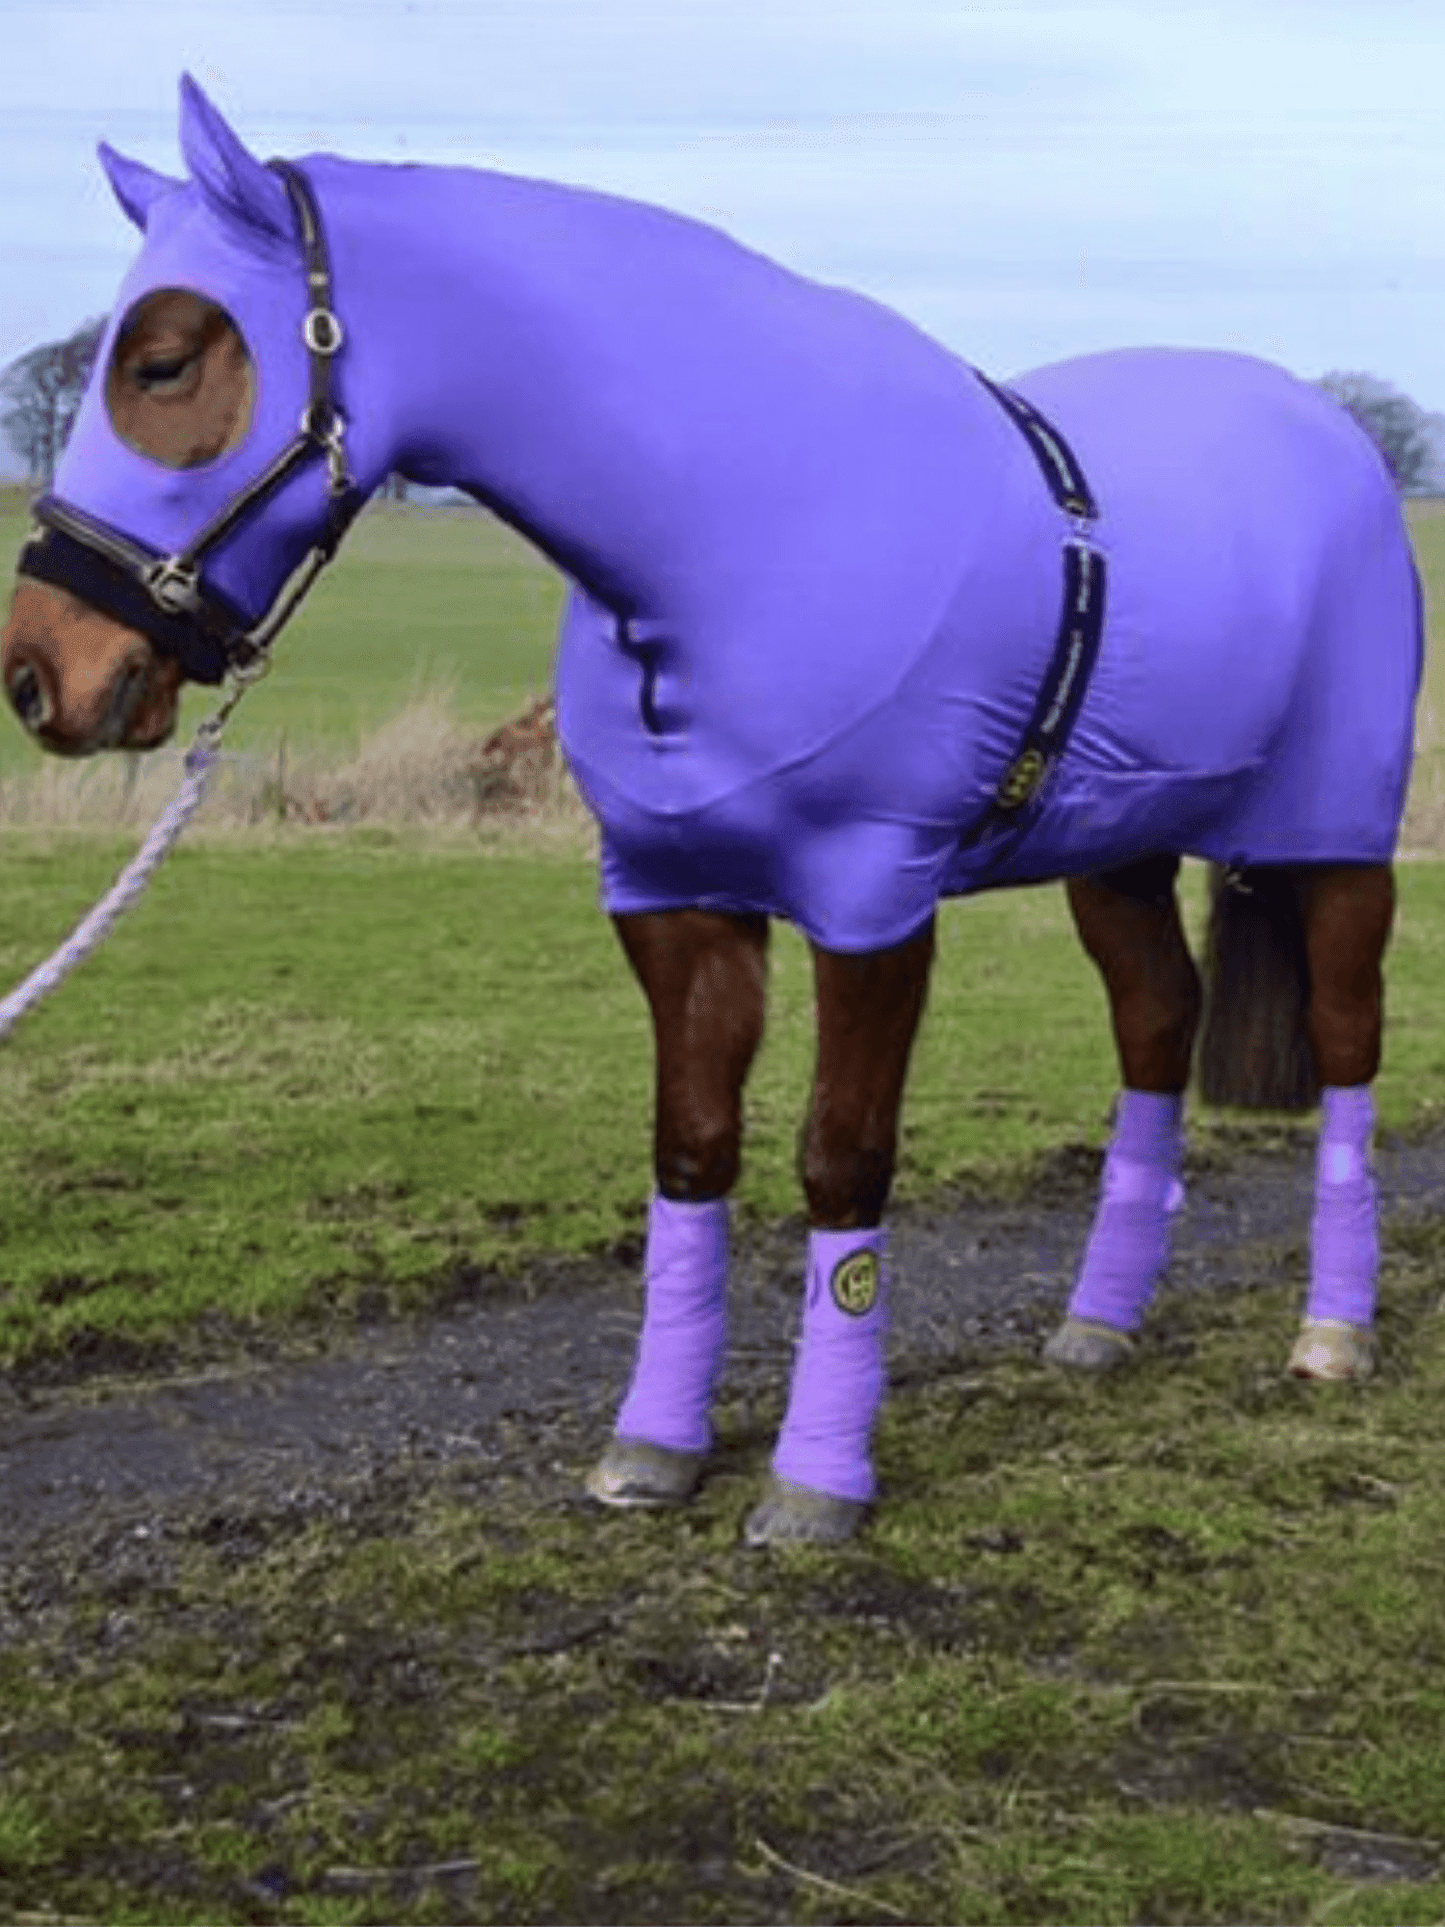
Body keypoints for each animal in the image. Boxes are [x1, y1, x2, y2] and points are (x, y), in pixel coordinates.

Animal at [2, 78, 1420, 1544]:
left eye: (167, 360)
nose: (45, 671)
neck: (740, 526)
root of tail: (1323, 432)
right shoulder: (671, 901)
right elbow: (690, 1155)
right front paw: (653, 1447)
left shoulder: (871, 905)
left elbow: (840, 1158)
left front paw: (815, 1482)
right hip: (1117, 850)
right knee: (1153, 1026)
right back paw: (1098, 1323)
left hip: (1330, 842)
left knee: (1345, 1044)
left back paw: (1330, 1333)